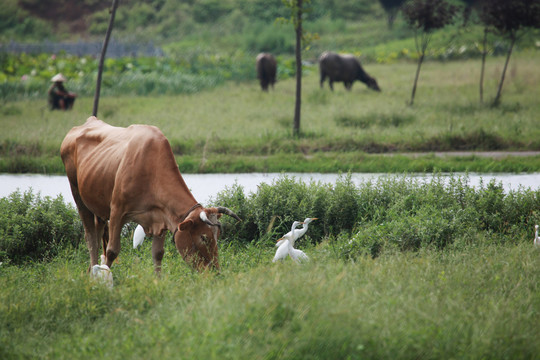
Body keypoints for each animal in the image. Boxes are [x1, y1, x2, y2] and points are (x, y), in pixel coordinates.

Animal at [59, 117, 243, 272]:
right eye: (204, 237)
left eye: (218, 236)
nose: (215, 272)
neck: (151, 171)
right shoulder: (117, 211)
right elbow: (112, 251)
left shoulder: (161, 217)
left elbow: (158, 254)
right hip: (78, 195)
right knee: (91, 238)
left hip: (98, 205)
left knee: (98, 235)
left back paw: (92, 270)